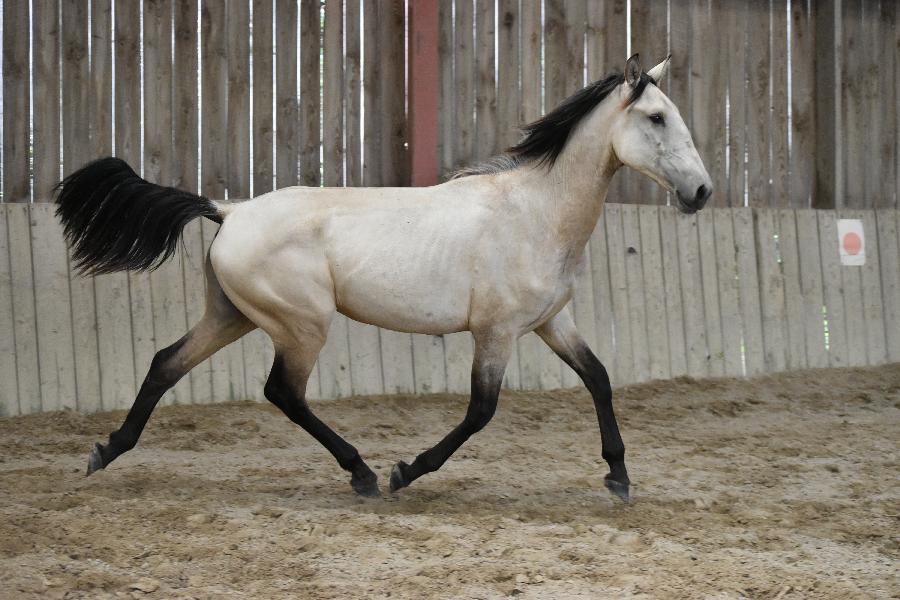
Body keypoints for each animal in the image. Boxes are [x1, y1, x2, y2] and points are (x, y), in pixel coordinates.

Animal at [59, 55, 712, 502]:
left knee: (166, 363)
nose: (702, 192)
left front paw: (619, 477)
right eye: (657, 117)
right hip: (301, 325)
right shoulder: (496, 332)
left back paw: (105, 451)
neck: (533, 211)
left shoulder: (553, 322)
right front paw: (406, 471)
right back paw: (365, 474)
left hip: (233, 316)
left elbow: (599, 378)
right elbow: (481, 410)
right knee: (282, 392)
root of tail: (230, 211)